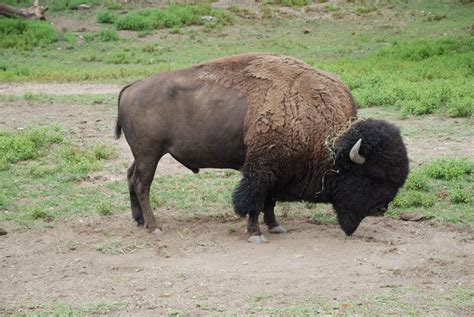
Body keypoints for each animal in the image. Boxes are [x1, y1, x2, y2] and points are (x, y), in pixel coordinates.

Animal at [115, 54, 412, 242]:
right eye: (372, 176)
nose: (381, 209)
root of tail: (130, 87)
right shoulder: (261, 169)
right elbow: (253, 200)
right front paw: (256, 234)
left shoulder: (277, 170)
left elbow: (269, 200)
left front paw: (276, 226)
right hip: (150, 154)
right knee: (142, 183)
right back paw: (154, 227)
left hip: (142, 155)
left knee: (130, 177)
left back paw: (139, 221)